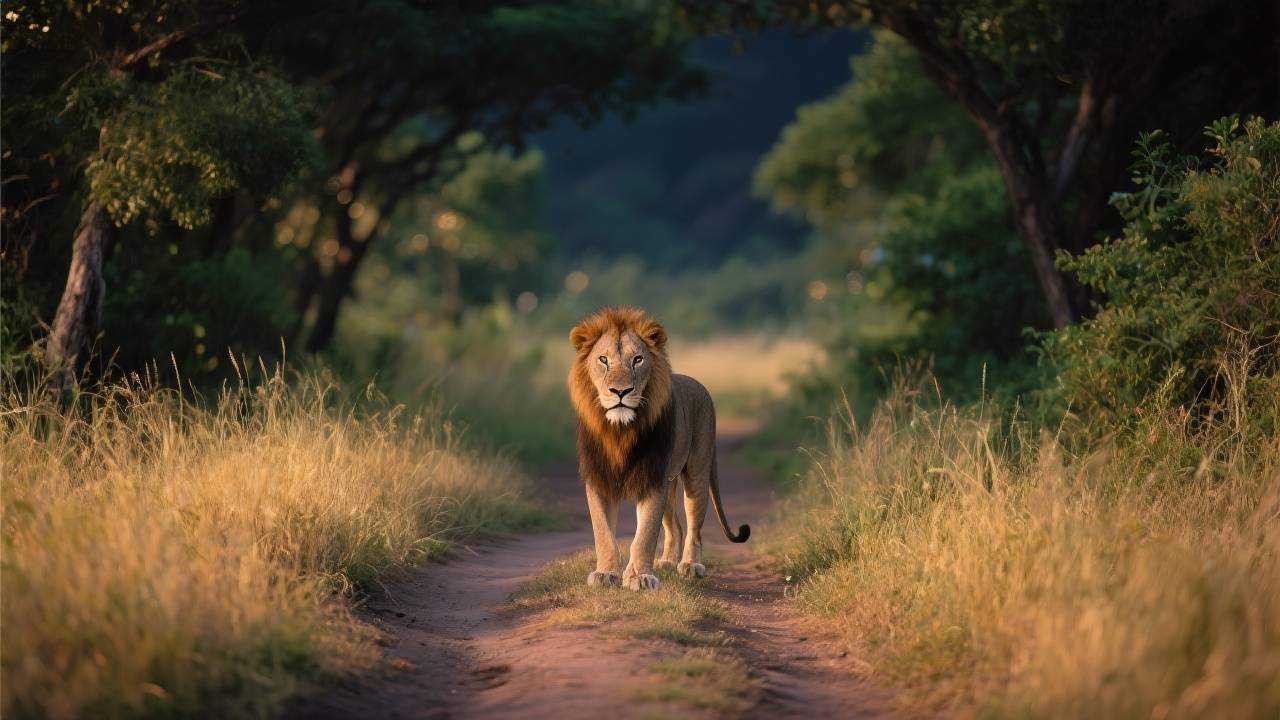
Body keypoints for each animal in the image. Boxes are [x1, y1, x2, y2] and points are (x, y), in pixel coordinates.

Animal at [568, 306, 749, 591]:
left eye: (638, 359)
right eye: (603, 360)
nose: (621, 391)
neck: (620, 431)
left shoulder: (653, 478)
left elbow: (645, 534)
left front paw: (639, 577)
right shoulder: (599, 476)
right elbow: (603, 532)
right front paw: (606, 573)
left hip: (696, 472)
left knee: (694, 527)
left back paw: (689, 566)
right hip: (670, 480)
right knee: (676, 526)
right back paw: (666, 562)